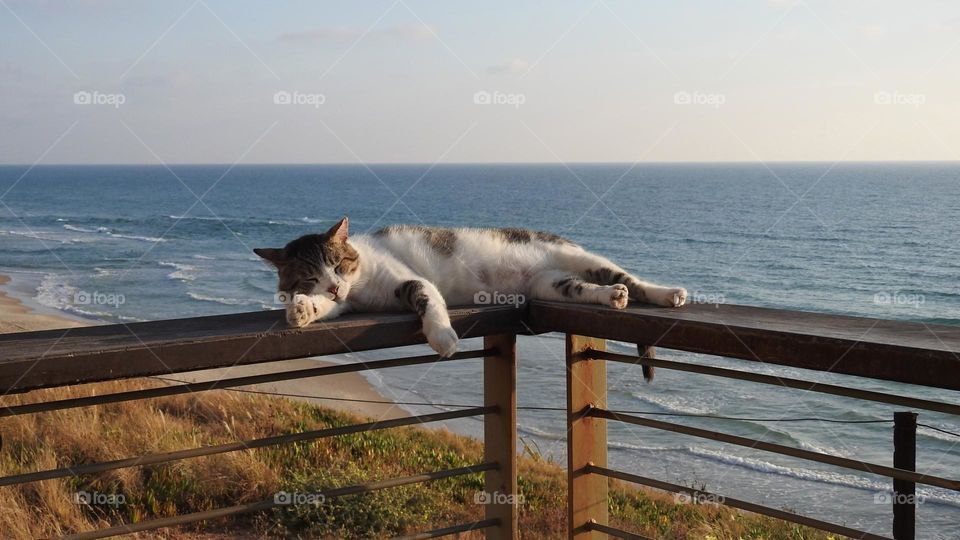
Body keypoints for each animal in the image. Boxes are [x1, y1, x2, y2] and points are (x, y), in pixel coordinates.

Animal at [256, 216, 684, 380]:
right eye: (311, 276)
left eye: (339, 264)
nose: (333, 285)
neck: (358, 286)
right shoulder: (347, 303)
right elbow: (325, 308)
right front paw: (302, 309)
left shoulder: (409, 279)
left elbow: (428, 299)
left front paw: (443, 338)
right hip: (553, 285)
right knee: (585, 289)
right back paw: (611, 298)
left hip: (579, 258)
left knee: (630, 278)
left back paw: (667, 294)